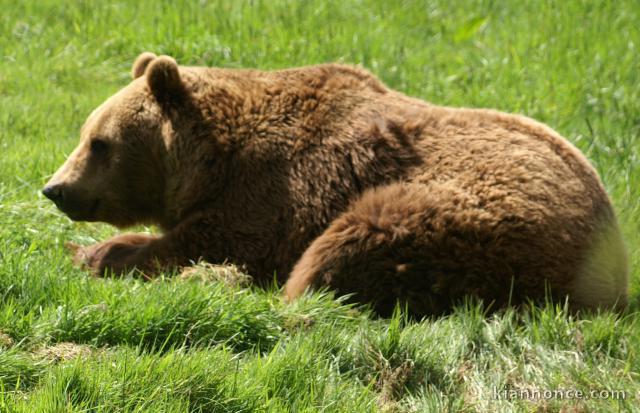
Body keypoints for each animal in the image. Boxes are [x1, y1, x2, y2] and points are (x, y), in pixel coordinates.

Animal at [42, 52, 628, 316]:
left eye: (99, 142)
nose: (55, 188)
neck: (213, 160)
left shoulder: (278, 191)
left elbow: (216, 240)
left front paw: (97, 252)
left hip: (471, 217)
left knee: (353, 242)